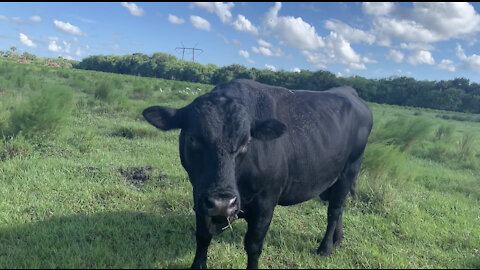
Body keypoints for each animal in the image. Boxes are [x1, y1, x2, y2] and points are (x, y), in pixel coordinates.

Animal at [143, 78, 376, 268]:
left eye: (246, 142)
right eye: (192, 138)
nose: (222, 203)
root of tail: (350, 92)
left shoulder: (265, 204)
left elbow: (253, 246)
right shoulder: (200, 197)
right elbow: (203, 236)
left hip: (350, 169)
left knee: (334, 210)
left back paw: (326, 248)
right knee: (340, 208)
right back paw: (338, 240)